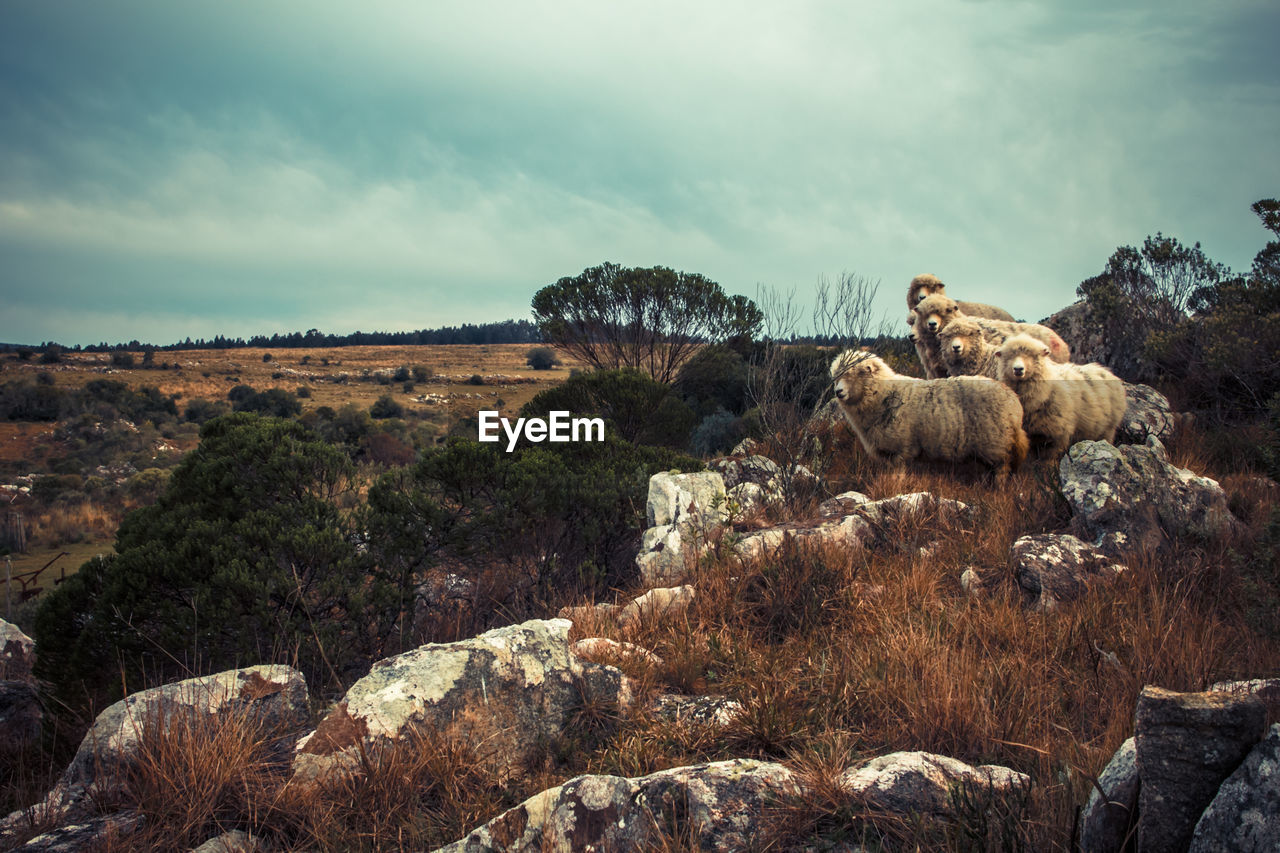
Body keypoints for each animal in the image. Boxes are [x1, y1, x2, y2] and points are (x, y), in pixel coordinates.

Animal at [829, 348, 1029, 479]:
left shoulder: (901, 449)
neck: (884, 392)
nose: (838, 392)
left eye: (857, 373)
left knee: (1001, 469)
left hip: (996, 444)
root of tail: (1015, 402)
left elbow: (897, 476)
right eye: (836, 376)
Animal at [993, 330, 1126, 455]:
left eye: (1033, 356)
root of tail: (1106, 371)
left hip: (1108, 430)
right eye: (1009, 356)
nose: (1018, 369)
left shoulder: (1058, 435)